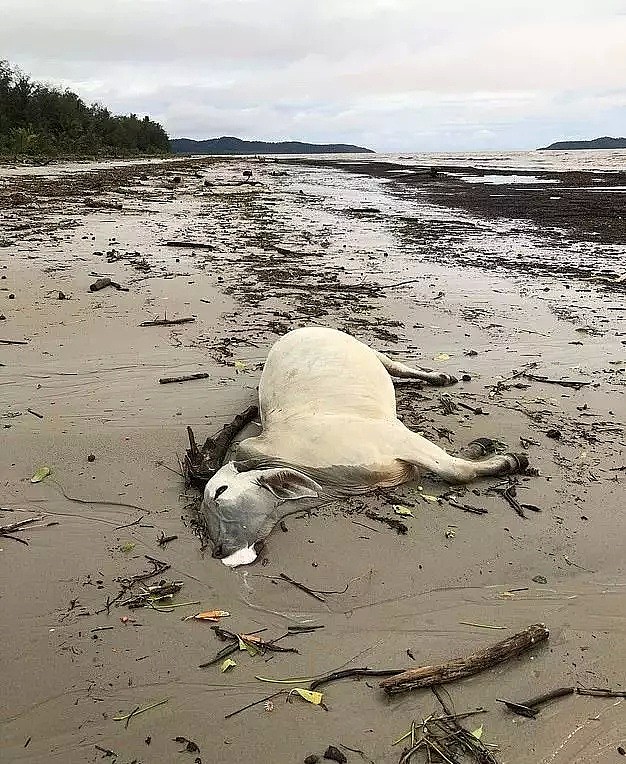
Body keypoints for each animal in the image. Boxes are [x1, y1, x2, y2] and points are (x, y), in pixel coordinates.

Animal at [201, 326, 528, 564]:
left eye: (219, 492)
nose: (218, 550)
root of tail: (297, 330)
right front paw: (480, 448)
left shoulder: (398, 437)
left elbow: (455, 470)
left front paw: (510, 461)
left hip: (370, 350)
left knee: (400, 367)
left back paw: (440, 376)